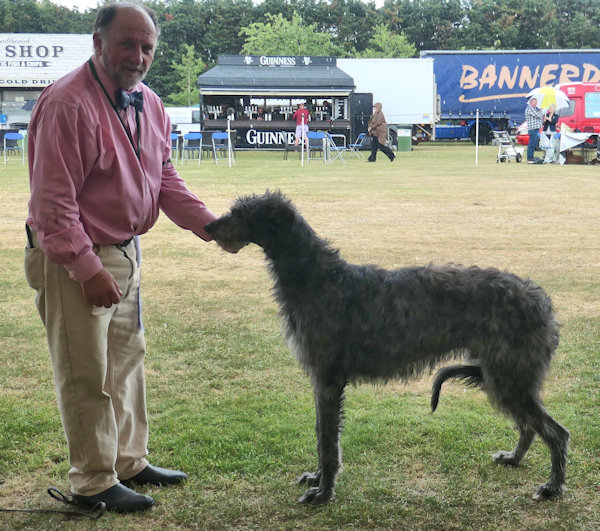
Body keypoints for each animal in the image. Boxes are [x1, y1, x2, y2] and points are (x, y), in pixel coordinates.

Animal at [204, 191, 568, 508]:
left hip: (509, 376)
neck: (315, 276)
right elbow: (322, 434)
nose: (208, 227)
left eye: (241, 213)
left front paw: (323, 493)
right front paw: (318, 479)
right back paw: (514, 459)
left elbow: (328, 442)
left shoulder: (327, 380)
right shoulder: (322, 382)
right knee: (529, 425)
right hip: (504, 376)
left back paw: (552, 487)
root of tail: (542, 301)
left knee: (556, 432)